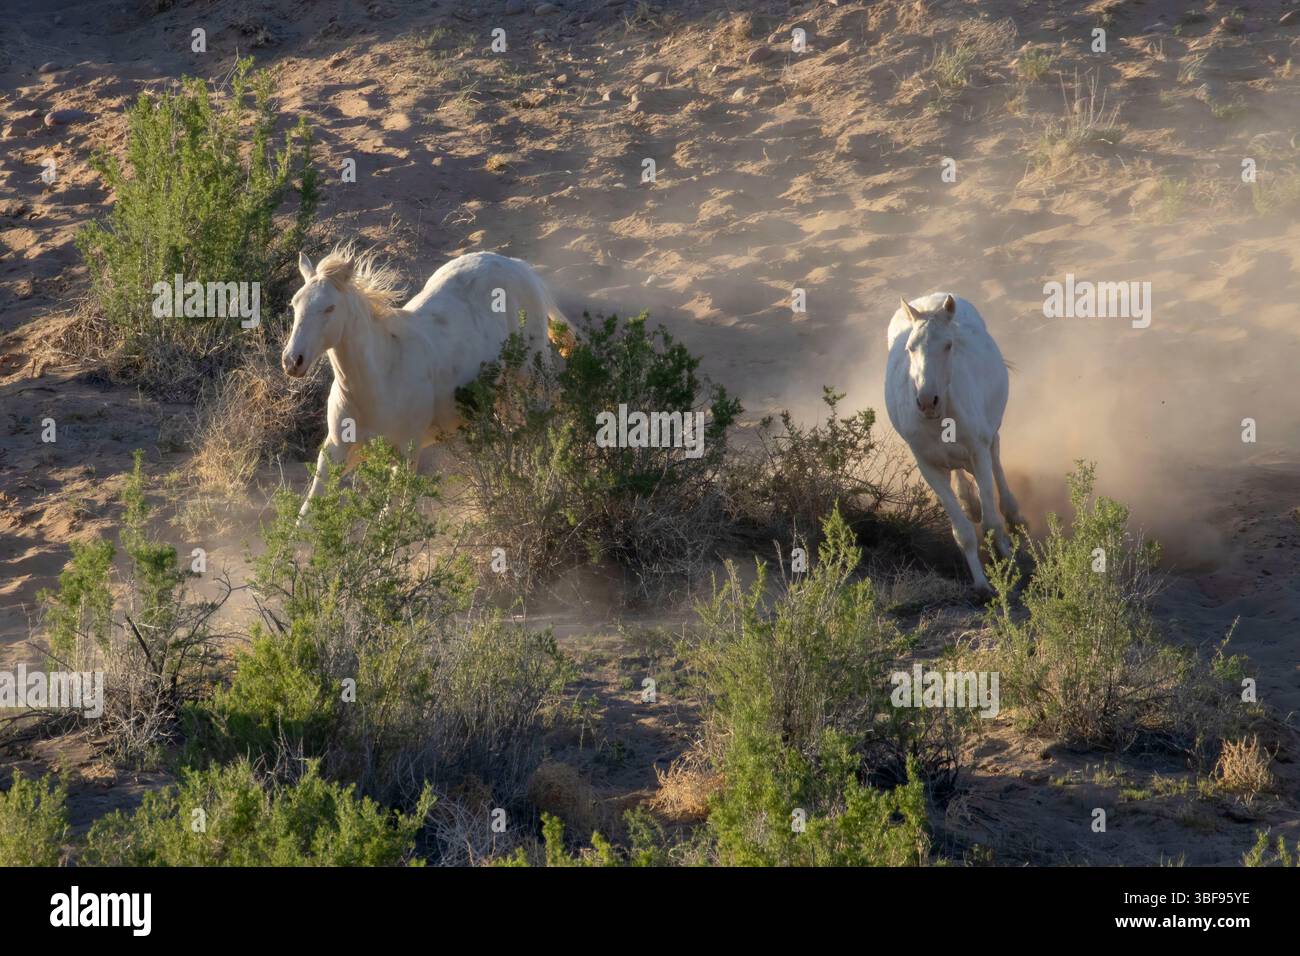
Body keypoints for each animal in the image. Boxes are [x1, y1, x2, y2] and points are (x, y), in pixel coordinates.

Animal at [282, 246, 568, 515]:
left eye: (329, 307)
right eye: (294, 304)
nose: (292, 361)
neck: (378, 382)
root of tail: (519, 267)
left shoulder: (405, 453)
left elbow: (390, 517)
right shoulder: (337, 449)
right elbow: (307, 513)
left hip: (531, 379)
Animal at [884, 292, 1023, 595]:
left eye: (948, 345)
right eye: (910, 348)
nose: (927, 401)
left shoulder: (978, 452)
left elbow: (991, 522)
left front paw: (1008, 563)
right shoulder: (928, 466)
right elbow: (963, 532)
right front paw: (981, 583)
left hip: (990, 435)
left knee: (996, 463)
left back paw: (1013, 514)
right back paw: (969, 500)